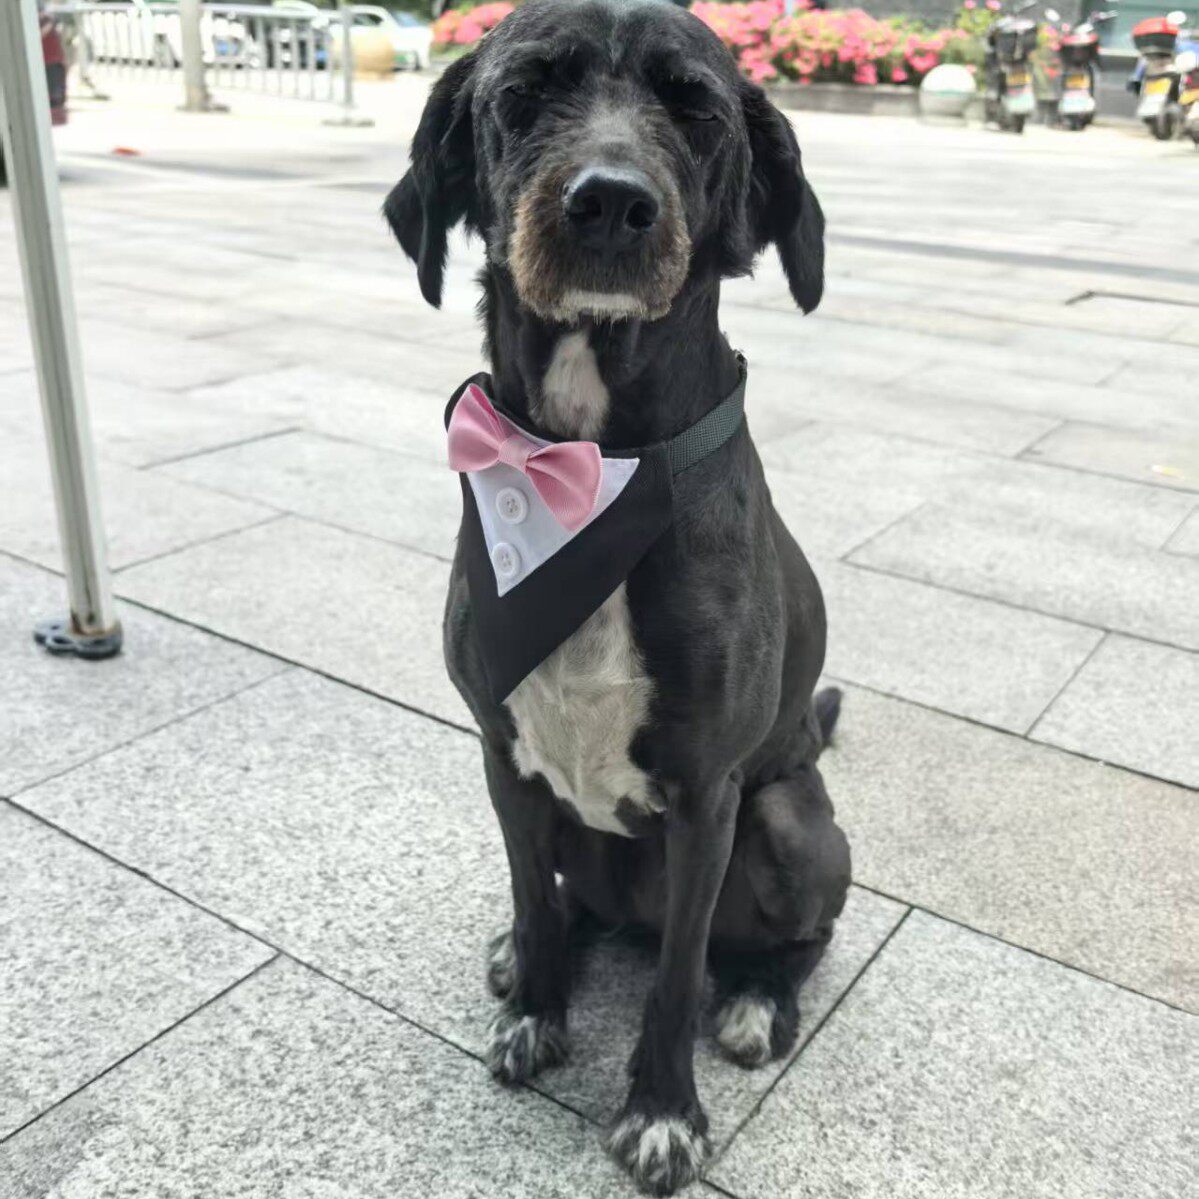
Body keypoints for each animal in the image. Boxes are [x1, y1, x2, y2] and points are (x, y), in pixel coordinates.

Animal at [385, 1, 851, 1193]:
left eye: (695, 107)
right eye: (522, 95)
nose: (608, 200)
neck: (595, 466)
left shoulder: (705, 798)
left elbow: (677, 978)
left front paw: (661, 1111)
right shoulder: (502, 758)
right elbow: (527, 894)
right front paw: (536, 1007)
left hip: (788, 819)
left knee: (780, 942)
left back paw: (757, 1002)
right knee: (569, 908)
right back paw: (528, 951)